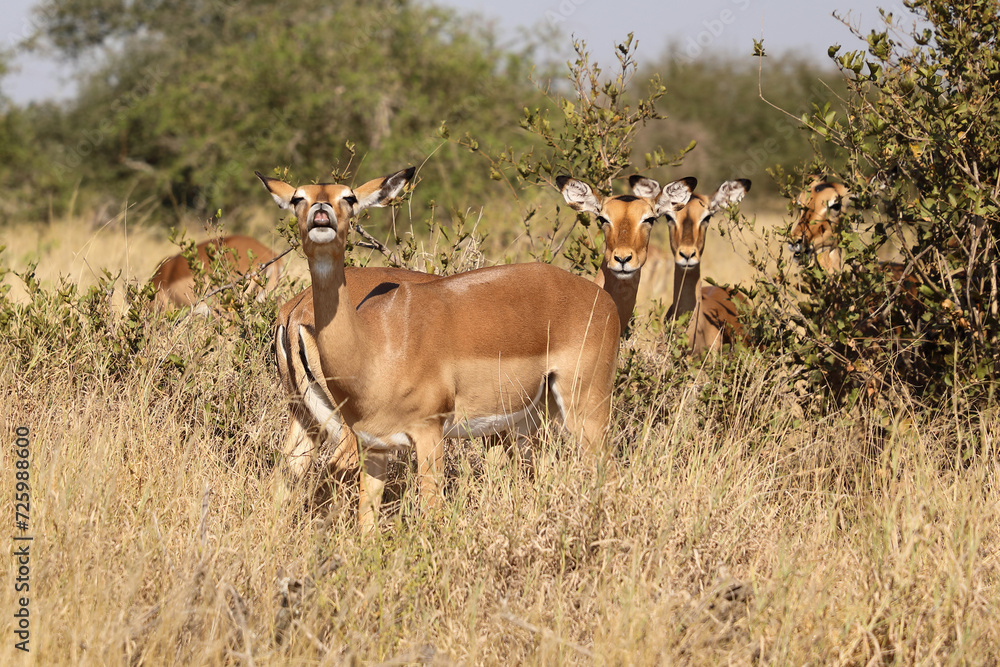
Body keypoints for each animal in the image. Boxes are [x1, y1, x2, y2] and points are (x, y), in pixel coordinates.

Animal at [258, 167, 616, 528]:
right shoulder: (381, 445)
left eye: (349, 197)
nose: (321, 214)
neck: (375, 344)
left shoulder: (431, 434)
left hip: (584, 410)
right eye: (297, 198)